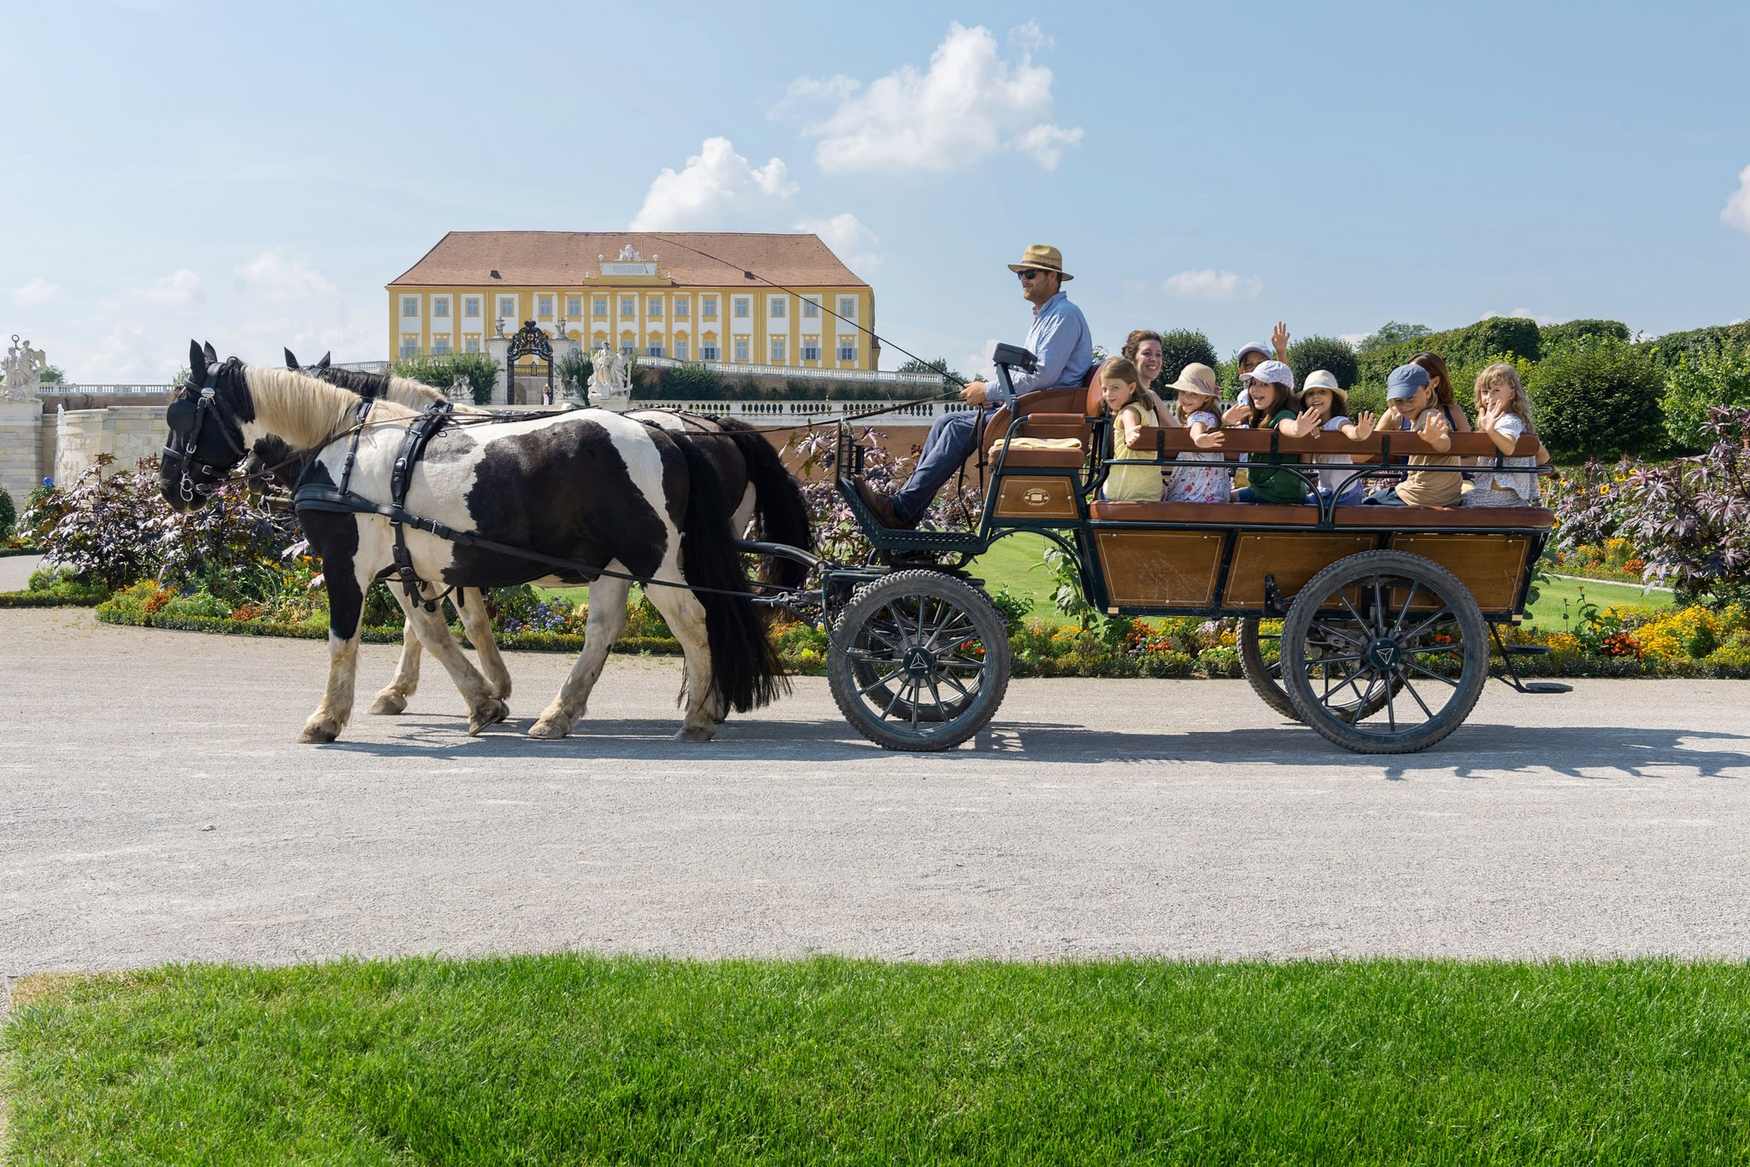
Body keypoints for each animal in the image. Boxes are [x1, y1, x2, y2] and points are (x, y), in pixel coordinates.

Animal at [165, 339, 787, 738]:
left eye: (179, 415)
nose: (173, 487)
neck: (349, 444)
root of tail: (667, 432)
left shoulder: (350, 565)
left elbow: (351, 638)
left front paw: (328, 717)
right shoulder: (414, 565)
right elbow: (436, 630)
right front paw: (483, 698)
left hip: (653, 560)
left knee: (695, 622)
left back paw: (700, 712)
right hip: (612, 565)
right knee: (605, 630)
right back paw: (561, 713)